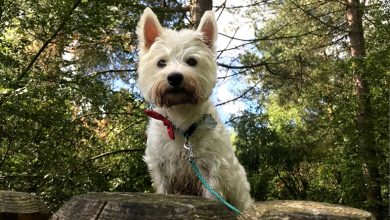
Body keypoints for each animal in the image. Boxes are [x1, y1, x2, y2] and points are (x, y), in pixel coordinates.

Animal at [137, 7, 253, 212]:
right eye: (161, 62)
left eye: (192, 61)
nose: (175, 77)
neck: (181, 118)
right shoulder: (161, 167)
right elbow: (163, 191)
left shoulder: (211, 167)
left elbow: (211, 195)